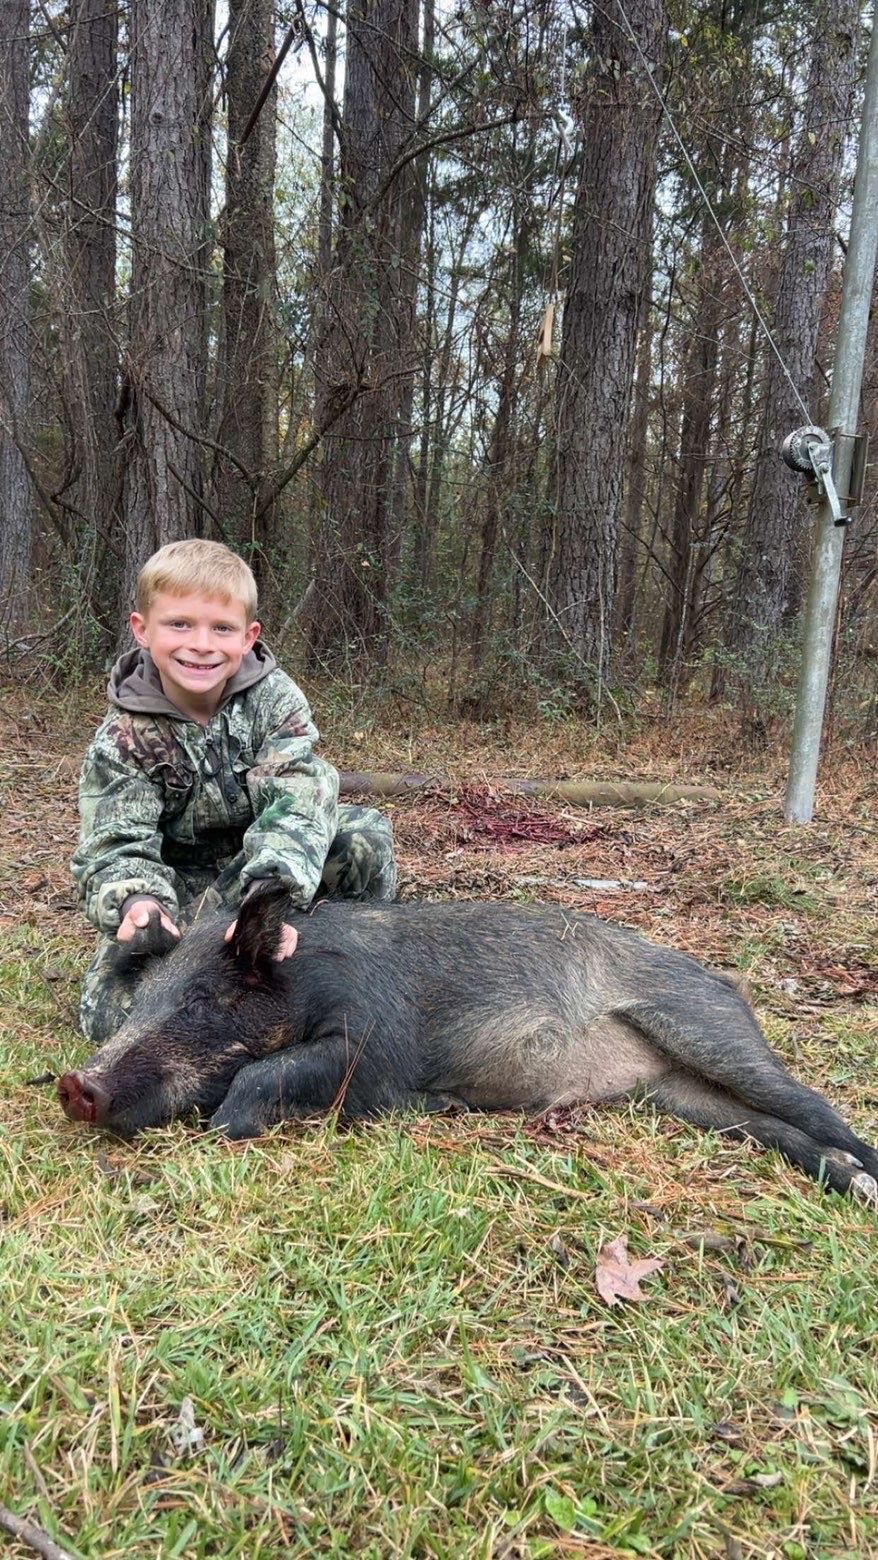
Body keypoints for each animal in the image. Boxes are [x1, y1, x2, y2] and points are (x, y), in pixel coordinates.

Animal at [58, 886, 878, 1199]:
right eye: (142, 1001)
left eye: (204, 999)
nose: (76, 1085)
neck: (303, 983)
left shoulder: (372, 1044)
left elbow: (267, 1075)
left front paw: (228, 1125)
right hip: (677, 1094)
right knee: (772, 1129)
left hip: (712, 1029)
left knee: (813, 1107)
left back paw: (866, 1178)